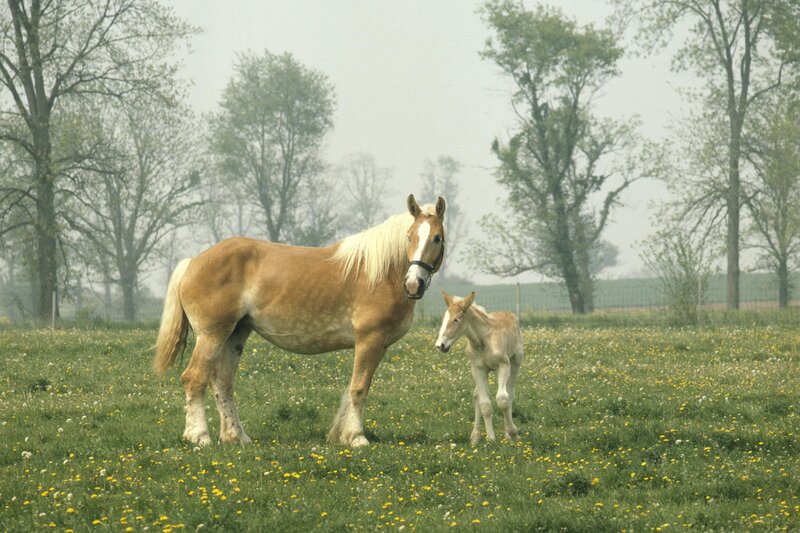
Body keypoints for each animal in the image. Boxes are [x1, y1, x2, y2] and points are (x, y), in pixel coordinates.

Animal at [154, 194, 446, 447]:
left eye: (437, 238)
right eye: (409, 237)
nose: (413, 284)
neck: (382, 273)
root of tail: (193, 262)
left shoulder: (380, 346)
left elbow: (351, 389)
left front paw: (339, 435)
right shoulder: (369, 340)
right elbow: (359, 388)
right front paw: (357, 437)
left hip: (234, 335)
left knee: (223, 384)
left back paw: (237, 437)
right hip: (211, 334)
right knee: (194, 378)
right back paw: (199, 436)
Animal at [435, 291, 523, 445]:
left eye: (457, 319)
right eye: (444, 318)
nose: (440, 345)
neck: (483, 341)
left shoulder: (503, 365)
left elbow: (503, 399)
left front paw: (513, 433)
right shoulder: (478, 369)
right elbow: (484, 404)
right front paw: (491, 439)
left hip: (515, 362)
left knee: (510, 393)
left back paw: (508, 434)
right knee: (477, 395)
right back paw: (475, 437)